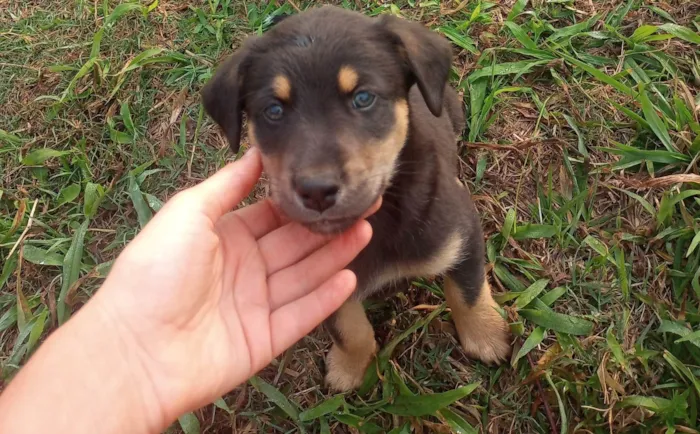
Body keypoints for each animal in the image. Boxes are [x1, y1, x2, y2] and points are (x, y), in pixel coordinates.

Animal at [200, 5, 512, 392]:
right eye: (273, 110)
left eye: (363, 98)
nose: (316, 190)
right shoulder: (330, 276)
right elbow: (349, 329)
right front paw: (349, 368)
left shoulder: (462, 230)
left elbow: (468, 290)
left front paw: (487, 336)